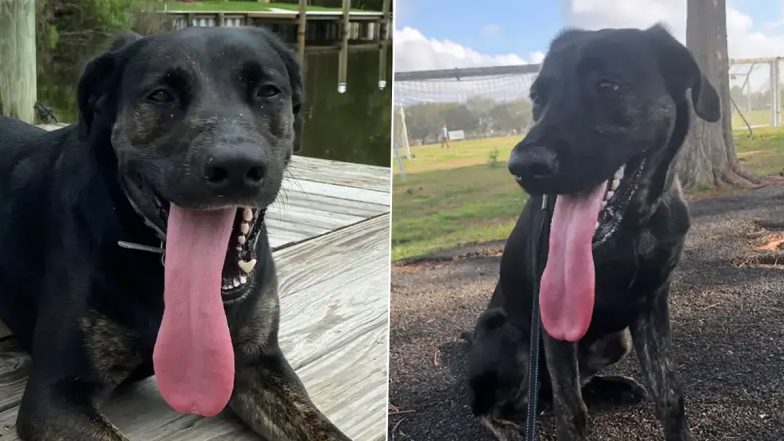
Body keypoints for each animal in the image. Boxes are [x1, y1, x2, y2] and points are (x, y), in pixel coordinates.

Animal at [468, 24, 720, 440]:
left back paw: (612, 386)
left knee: (556, 389)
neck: (631, 229)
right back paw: (505, 426)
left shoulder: (652, 304)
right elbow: (571, 411)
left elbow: (669, 395)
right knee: (498, 404)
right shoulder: (553, 317)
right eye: (538, 98)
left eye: (607, 85)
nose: (522, 166)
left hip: (616, 340)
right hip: (508, 336)